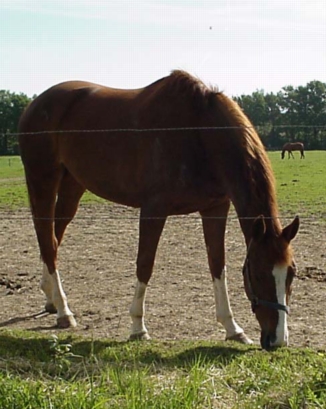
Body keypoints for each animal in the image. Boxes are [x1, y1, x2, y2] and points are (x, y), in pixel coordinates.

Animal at [17, 70, 300, 348]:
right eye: (259, 274)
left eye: (291, 273)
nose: (277, 340)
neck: (199, 133)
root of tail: (35, 104)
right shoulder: (154, 209)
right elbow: (145, 264)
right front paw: (137, 327)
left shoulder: (215, 208)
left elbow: (217, 265)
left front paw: (233, 328)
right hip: (43, 179)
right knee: (47, 239)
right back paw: (64, 312)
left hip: (73, 184)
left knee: (53, 238)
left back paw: (51, 300)